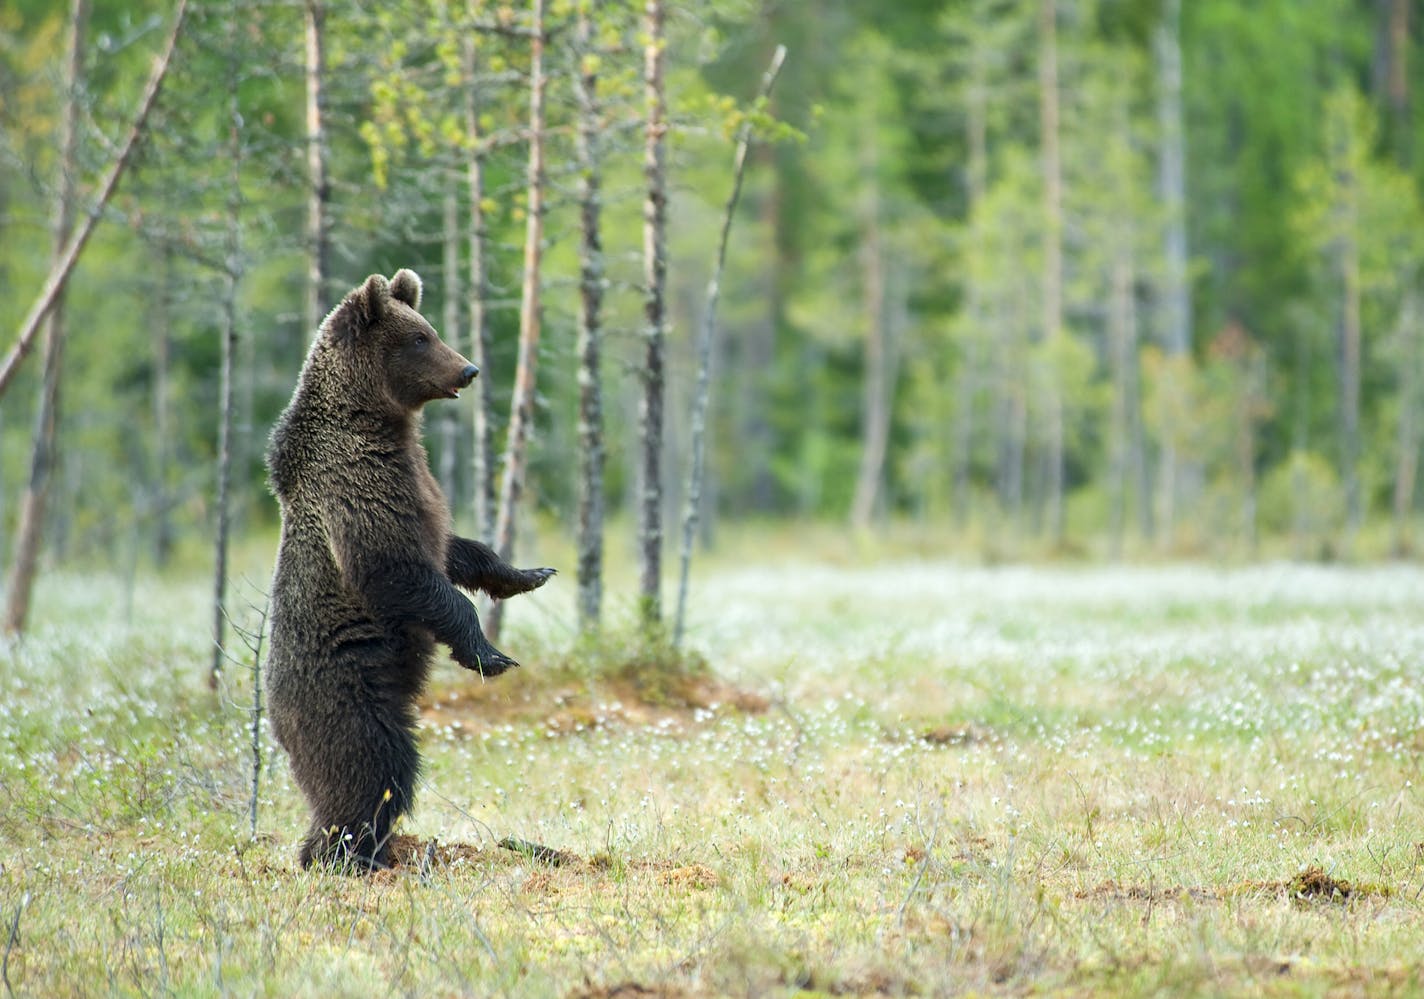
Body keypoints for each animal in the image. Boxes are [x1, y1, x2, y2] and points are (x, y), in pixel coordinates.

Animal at [264, 270, 552, 870]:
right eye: (420, 338)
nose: (468, 368)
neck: (380, 423)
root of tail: (273, 717)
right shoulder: (356, 486)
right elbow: (395, 568)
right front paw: (489, 653)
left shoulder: (418, 484)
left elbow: (453, 550)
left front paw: (526, 574)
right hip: (348, 693)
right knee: (374, 765)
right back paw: (349, 853)